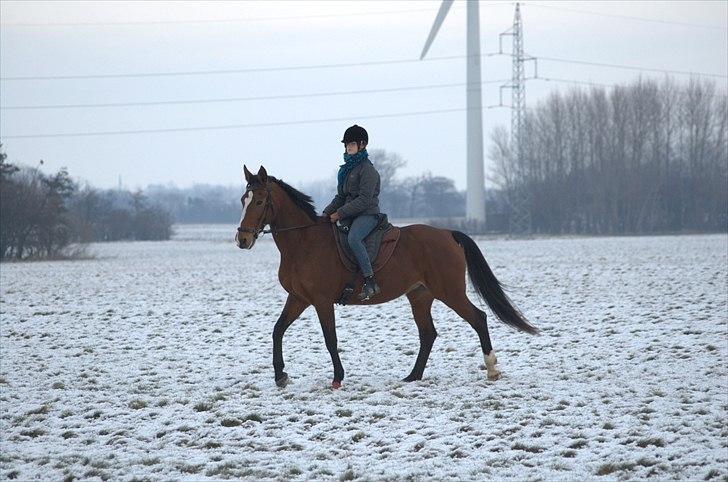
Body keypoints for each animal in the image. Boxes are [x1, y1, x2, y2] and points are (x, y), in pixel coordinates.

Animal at [236, 166, 536, 388]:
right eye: (243, 200)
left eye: (259, 201)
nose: (242, 239)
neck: (304, 242)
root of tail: (448, 233)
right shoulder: (298, 298)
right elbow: (277, 330)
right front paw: (280, 376)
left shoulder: (321, 301)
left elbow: (330, 338)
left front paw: (337, 378)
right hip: (420, 296)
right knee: (428, 333)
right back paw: (413, 376)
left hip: (449, 292)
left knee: (478, 318)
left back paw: (491, 369)